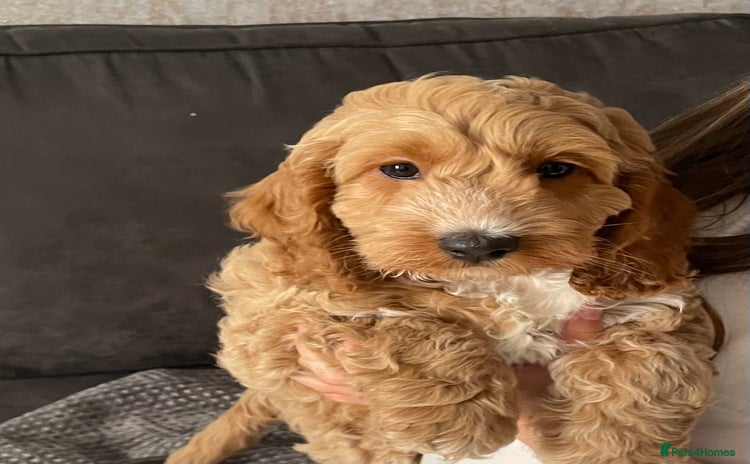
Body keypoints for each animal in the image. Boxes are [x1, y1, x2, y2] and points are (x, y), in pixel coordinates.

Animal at [167, 75, 718, 464]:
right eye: (399, 169)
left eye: (556, 169)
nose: (476, 243)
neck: (498, 286)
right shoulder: (272, 308)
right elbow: (402, 322)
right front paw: (459, 413)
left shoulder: (644, 296)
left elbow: (647, 361)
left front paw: (618, 445)